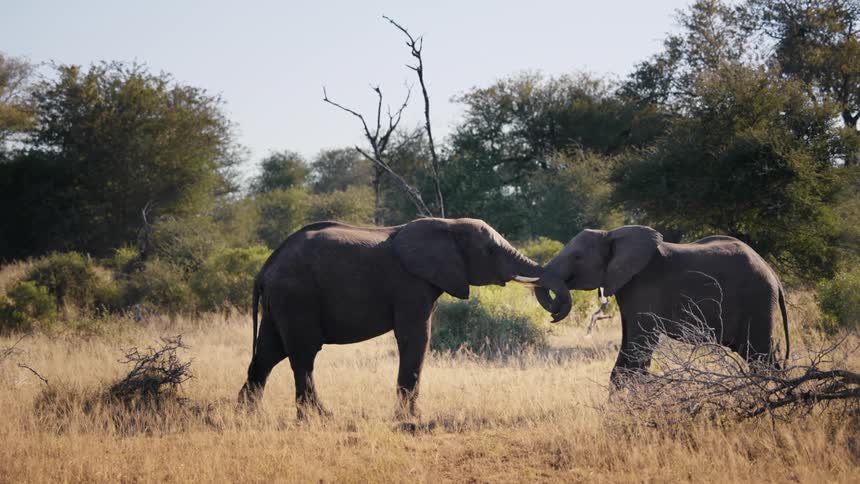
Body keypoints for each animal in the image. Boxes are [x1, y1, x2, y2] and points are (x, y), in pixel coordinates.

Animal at [238, 217, 567, 419]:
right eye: (490, 250)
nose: (554, 315)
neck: (447, 224)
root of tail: (266, 267)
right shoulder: (410, 284)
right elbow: (416, 337)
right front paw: (409, 419)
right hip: (297, 296)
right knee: (303, 355)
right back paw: (319, 418)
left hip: (281, 301)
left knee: (268, 353)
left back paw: (248, 416)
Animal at [533, 225, 790, 387]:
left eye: (577, 257)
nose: (554, 315)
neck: (611, 234)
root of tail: (774, 276)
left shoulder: (644, 287)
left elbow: (638, 347)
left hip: (757, 300)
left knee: (760, 356)